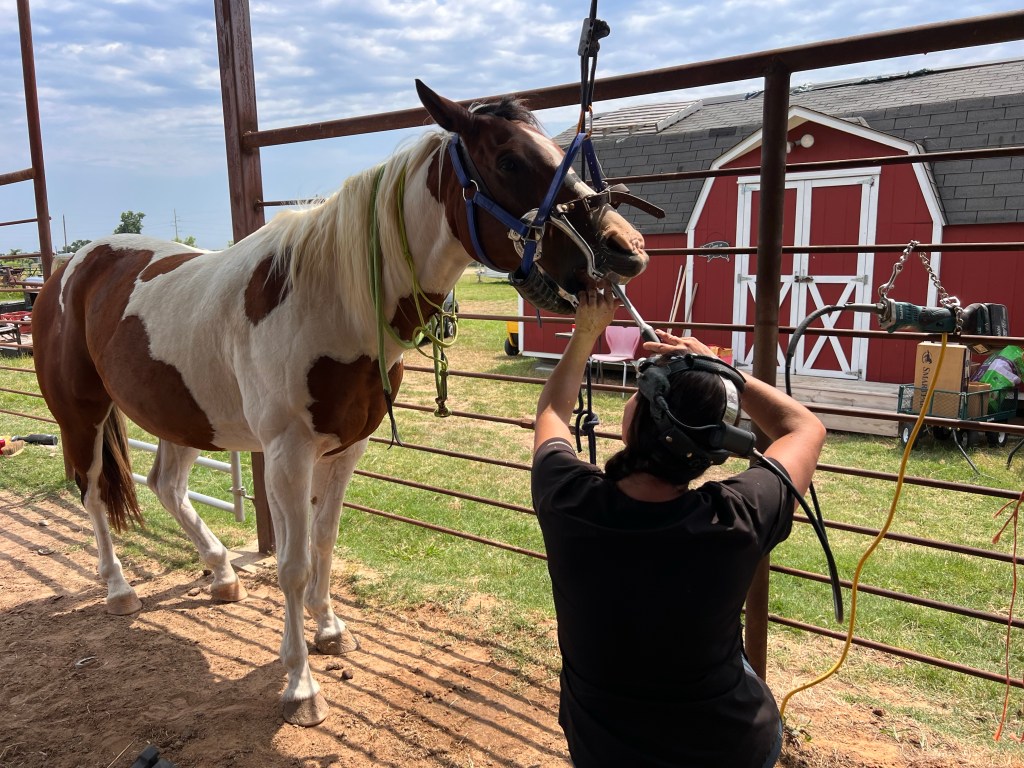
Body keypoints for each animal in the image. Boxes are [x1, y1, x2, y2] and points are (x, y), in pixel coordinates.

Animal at [32, 80, 651, 726]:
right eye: (508, 160)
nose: (626, 248)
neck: (332, 303)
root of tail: (69, 267)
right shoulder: (286, 455)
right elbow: (293, 564)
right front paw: (301, 685)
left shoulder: (346, 447)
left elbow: (325, 543)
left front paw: (329, 630)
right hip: (81, 414)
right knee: (91, 491)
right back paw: (118, 588)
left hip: (181, 416)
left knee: (168, 486)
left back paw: (222, 572)